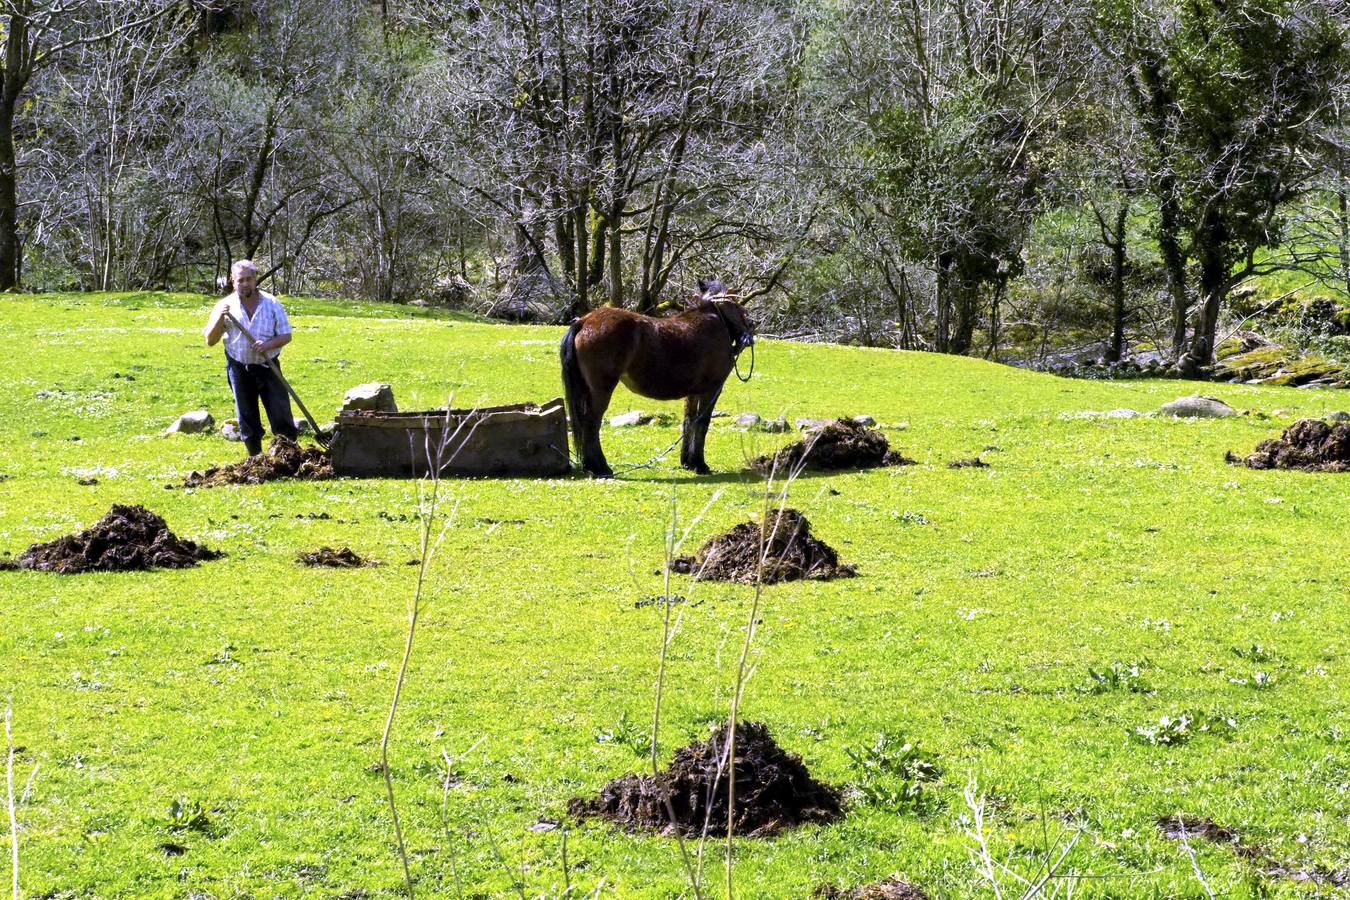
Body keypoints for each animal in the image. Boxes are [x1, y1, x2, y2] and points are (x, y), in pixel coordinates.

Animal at [556, 279, 756, 477]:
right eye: (737, 305)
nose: (749, 333)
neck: (714, 319)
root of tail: (585, 320)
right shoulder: (712, 390)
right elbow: (702, 423)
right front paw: (700, 464)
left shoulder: (693, 393)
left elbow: (689, 421)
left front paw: (688, 462)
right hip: (601, 390)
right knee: (592, 423)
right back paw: (599, 467)